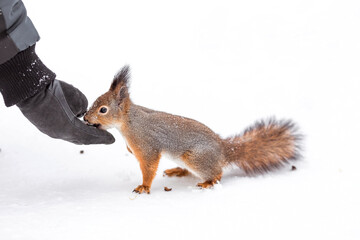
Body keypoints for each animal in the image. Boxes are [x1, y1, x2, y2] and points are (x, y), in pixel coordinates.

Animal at [83, 66, 300, 195]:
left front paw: (144, 186)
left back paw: (208, 182)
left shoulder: (148, 146)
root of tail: (224, 151)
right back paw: (178, 171)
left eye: (103, 110)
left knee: (217, 173)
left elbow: (149, 166)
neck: (130, 122)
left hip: (196, 157)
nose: (85, 118)